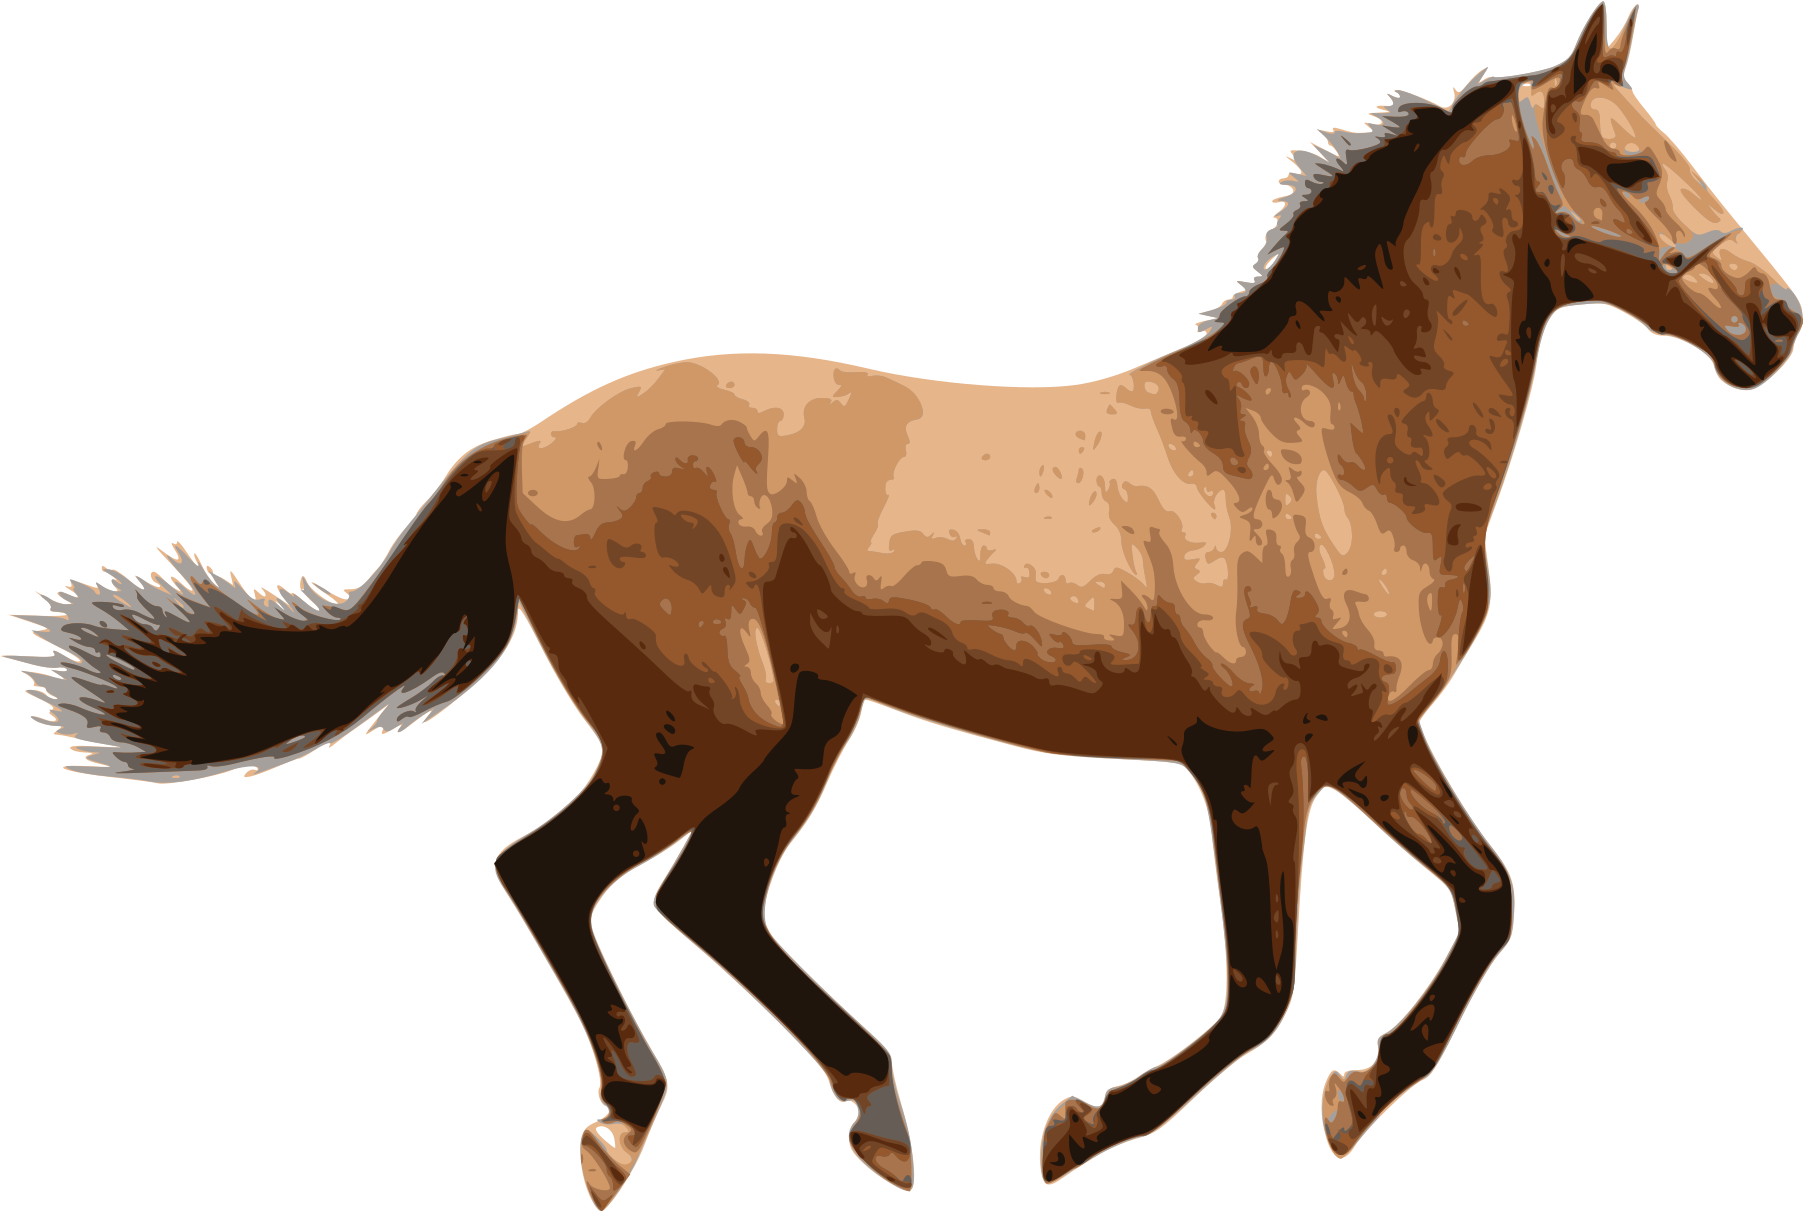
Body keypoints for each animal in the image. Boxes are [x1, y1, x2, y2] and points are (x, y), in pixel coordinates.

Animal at [13, 5, 1792, 1205]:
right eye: (1628, 163)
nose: (1772, 324)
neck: (1322, 447)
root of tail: (532, 442)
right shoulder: (1251, 765)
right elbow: (1260, 988)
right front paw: (1075, 1131)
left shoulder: (1372, 747)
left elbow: (1489, 902)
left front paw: (1355, 1102)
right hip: (706, 723)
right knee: (550, 873)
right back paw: (624, 1126)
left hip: (808, 719)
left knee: (704, 903)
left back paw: (876, 1116)